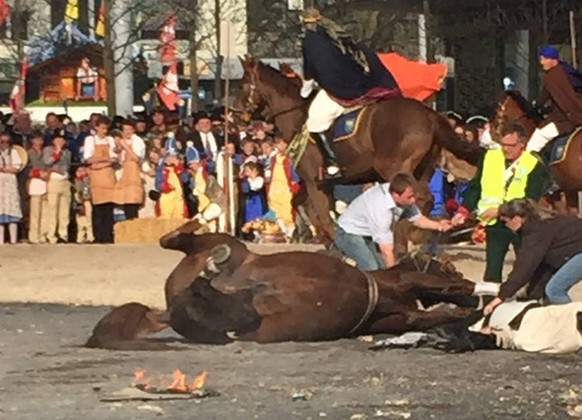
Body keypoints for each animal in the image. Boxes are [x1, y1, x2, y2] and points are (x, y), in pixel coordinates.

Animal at [84, 220, 490, 348]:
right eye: (450, 268)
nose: (469, 284)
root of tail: (169, 309)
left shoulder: (403, 316)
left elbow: (426, 316)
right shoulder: (405, 280)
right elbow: (422, 281)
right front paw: (468, 296)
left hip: (234, 317)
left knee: (221, 301)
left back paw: (214, 280)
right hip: (226, 248)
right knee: (178, 241)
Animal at [235, 57, 482, 244]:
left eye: (243, 84)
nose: (235, 115)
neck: (298, 117)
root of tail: (429, 114)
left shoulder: (314, 181)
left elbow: (321, 214)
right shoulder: (316, 182)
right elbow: (302, 204)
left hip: (395, 169)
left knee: (421, 198)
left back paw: (406, 235)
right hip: (422, 170)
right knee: (422, 201)